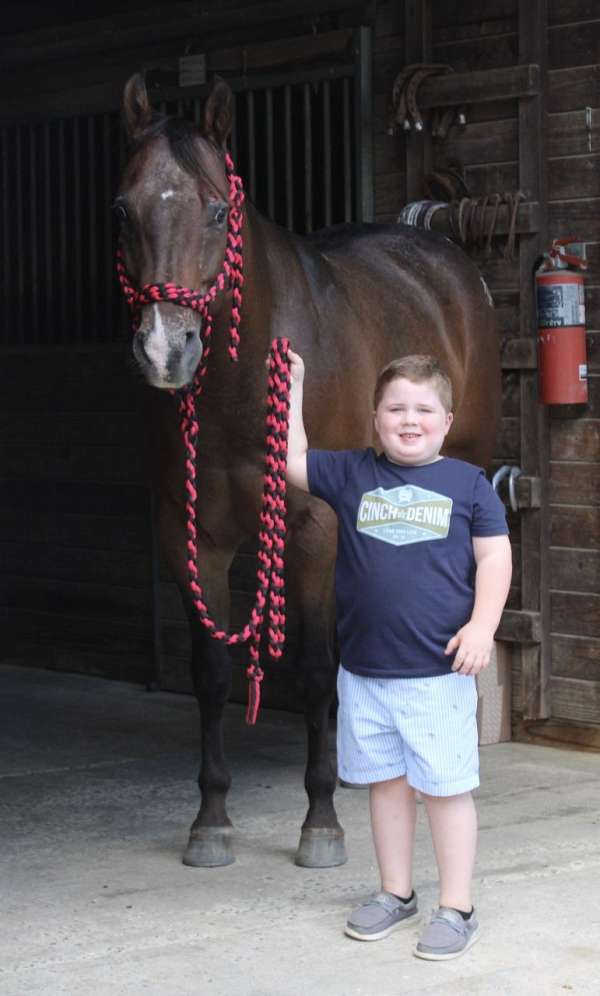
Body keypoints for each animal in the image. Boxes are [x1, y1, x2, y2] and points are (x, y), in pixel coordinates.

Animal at [116, 73, 502, 869]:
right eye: (122, 209)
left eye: (215, 209)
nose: (166, 350)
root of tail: (449, 262)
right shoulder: (191, 538)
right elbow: (212, 673)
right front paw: (211, 821)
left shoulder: (314, 526)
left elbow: (318, 669)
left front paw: (320, 822)